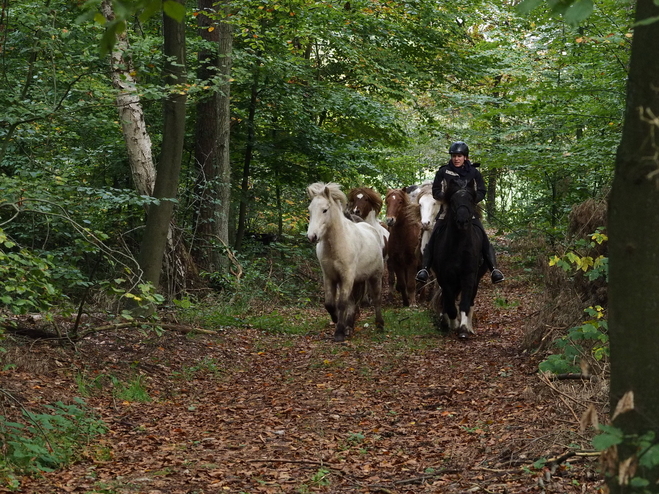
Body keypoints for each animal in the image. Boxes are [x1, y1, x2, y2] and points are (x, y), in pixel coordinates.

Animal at [310, 183, 386, 342]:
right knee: (353, 302)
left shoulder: (346, 277)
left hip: (375, 276)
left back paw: (379, 325)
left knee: (376, 299)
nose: (312, 236)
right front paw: (337, 320)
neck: (337, 244)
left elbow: (342, 303)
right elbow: (329, 303)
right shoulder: (330, 277)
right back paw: (349, 327)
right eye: (310, 210)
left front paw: (339, 333)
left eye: (325, 210)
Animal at [434, 178, 490, 340]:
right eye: (453, 200)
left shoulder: (469, 276)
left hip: (476, 279)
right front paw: (452, 323)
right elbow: (450, 304)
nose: (462, 221)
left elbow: (464, 303)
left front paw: (463, 328)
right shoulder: (445, 277)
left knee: (470, 301)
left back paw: (469, 327)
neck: (458, 246)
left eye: (470, 200)